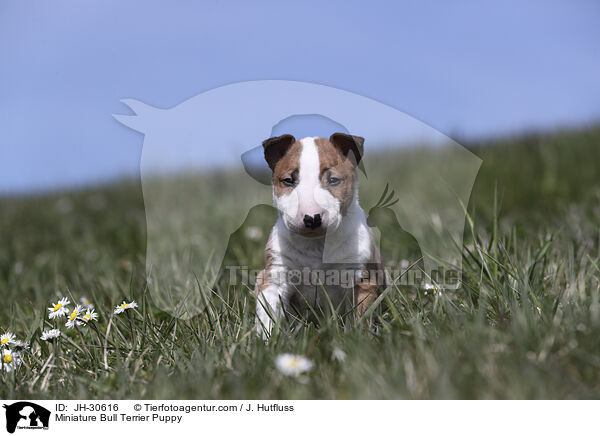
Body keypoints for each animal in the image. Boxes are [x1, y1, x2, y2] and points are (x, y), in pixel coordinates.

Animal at [254, 133, 386, 338]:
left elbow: (360, 318)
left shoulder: (361, 279)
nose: (312, 218)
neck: (316, 244)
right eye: (288, 180)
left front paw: (357, 338)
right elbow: (268, 316)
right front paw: (266, 342)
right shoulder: (274, 278)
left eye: (333, 180)